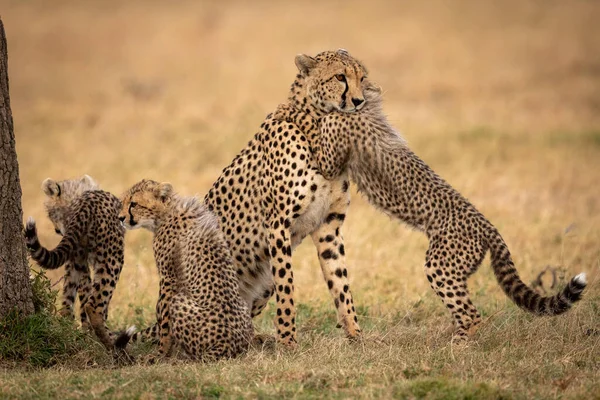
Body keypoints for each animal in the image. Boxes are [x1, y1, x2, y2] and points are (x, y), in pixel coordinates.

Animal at [24, 174, 125, 346]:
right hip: (113, 258)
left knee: (68, 303)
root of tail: (86, 205)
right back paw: (114, 343)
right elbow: (93, 298)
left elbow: (82, 293)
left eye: (50, 212)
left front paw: (85, 333)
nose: (57, 230)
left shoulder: (77, 258)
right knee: (94, 305)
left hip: (79, 260)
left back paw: (70, 330)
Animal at [116, 181, 253, 360]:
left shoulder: (168, 278)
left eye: (134, 204)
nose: (120, 218)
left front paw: (160, 354)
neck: (166, 213)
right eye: (123, 202)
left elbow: (163, 320)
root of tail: (230, 345)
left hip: (179, 302)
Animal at [204, 49, 370, 344]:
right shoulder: (278, 225)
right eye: (340, 77)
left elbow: (341, 284)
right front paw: (288, 341)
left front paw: (355, 335)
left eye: (362, 78)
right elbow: (287, 286)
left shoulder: (329, 227)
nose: (359, 101)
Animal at [274, 80, 588, 340]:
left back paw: (458, 346)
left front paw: (291, 110)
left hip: (440, 265)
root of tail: (490, 227)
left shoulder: (331, 155)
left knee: (472, 315)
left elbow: (314, 127)